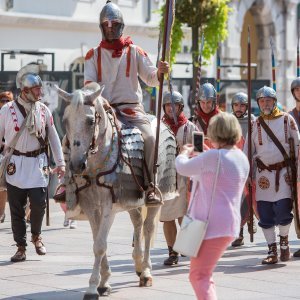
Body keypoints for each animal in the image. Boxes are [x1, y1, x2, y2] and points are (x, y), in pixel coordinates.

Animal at [56, 82, 177, 300]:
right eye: (65, 121)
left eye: (90, 121)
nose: (77, 165)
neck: (95, 165)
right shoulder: (90, 206)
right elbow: (97, 241)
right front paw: (104, 283)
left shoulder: (108, 207)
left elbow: (100, 245)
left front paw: (92, 287)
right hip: (132, 201)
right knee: (137, 223)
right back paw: (138, 264)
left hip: (156, 197)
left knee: (148, 227)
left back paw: (146, 271)